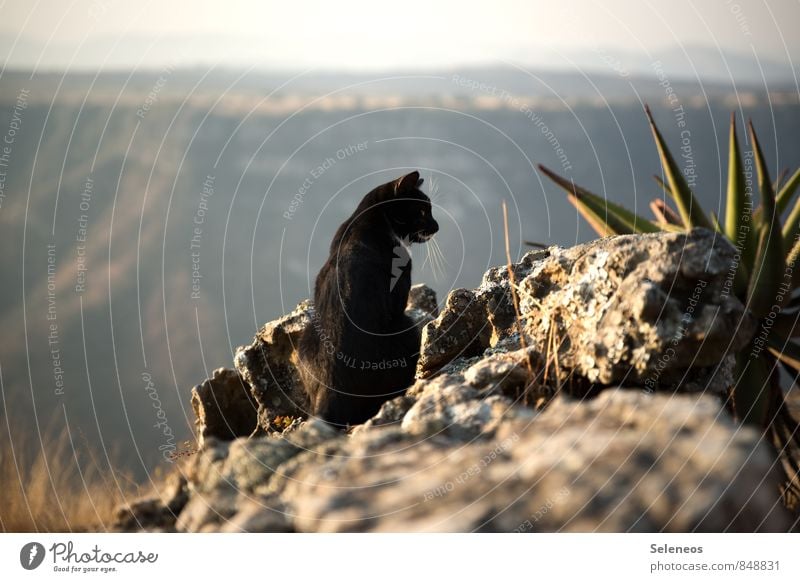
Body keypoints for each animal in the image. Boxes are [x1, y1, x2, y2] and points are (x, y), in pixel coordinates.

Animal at [298, 172, 440, 428]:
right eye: (423, 210)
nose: (437, 226)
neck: (367, 219)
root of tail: (330, 390)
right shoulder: (399, 288)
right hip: (406, 328)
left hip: (303, 340)